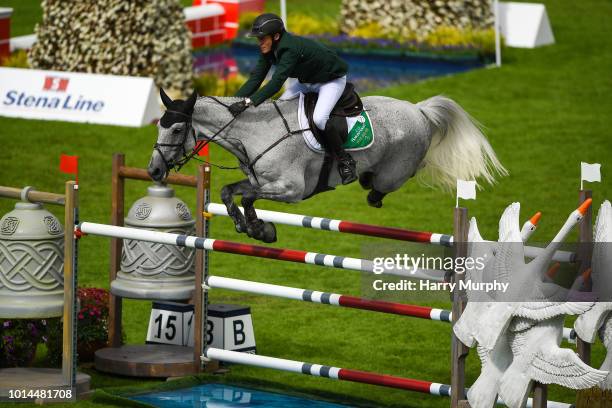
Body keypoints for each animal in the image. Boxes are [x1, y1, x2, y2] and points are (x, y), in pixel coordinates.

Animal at [148, 89, 506, 242]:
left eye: (177, 129)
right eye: (158, 127)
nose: (153, 171)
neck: (254, 133)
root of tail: (418, 109)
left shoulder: (290, 190)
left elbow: (248, 197)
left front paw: (259, 228)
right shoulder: (259, 181)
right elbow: (227, 191)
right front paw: (247, 225)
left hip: (395, 173)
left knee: (386, 185)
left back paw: (367, 183)